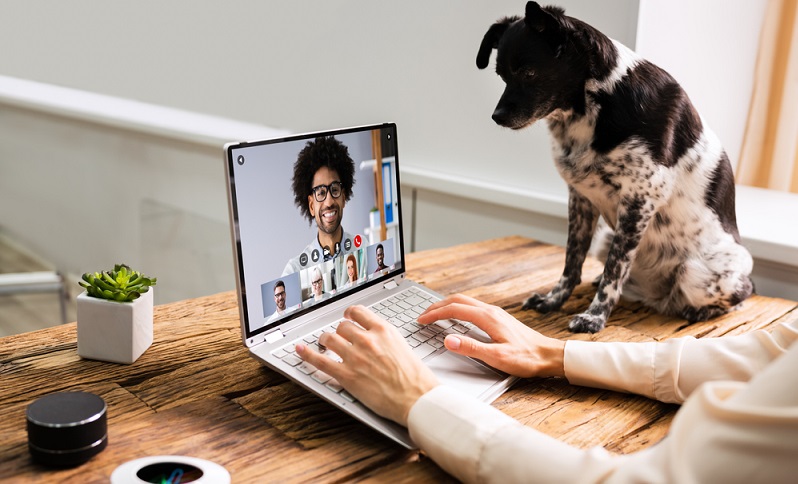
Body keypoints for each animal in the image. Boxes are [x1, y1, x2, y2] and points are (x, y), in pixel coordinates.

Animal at [482, 0, 756, 332]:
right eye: (501, 75)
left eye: (530, 73)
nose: (496, 117)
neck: (592, 107)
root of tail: (659, 298)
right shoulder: (581, 198)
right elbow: (572, 260)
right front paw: (553, 300)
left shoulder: (640, 200)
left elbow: (615, 269)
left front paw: (594, 316)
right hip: (605, 238)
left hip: (696, 273)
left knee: (740, 295)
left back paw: (700, 311)